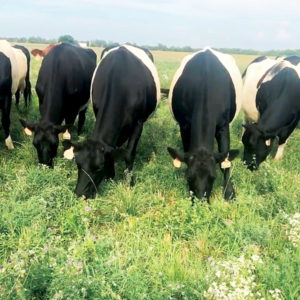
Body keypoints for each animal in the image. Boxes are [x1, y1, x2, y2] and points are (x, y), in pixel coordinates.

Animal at [63, 44, 161, 199]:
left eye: (99, 168)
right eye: (78, 164)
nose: (79, 194)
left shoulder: (138, 123)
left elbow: (129, 154)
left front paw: (129, 182)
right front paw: (111, 176)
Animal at [166, 47, 241, 202]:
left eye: (213, 177)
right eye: (189, 177)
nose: (201, 202)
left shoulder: (223, 125)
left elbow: (225, 161)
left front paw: (229, 193)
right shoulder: (184, 125)